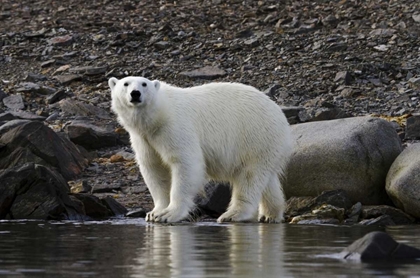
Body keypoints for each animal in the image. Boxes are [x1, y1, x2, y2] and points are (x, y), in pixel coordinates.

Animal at [108, 76, 292, 224]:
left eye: (144, 84)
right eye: (125, 83)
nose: (135, 93)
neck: (157, 115)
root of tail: (280, 114)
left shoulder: (175, 127)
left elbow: (186, 163)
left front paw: (169, 214)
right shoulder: (145, 139)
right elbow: (154, 169)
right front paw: (155, 213)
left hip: (255, 137)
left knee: (249, 177)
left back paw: (233, 214)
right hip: (266, 145)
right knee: (267, 180)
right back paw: (270, 215)